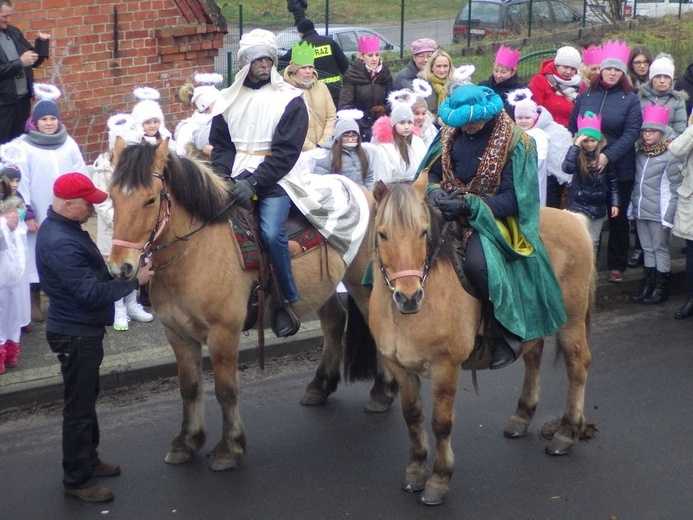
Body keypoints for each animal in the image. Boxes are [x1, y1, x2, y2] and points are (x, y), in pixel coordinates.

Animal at [105, 139, 392, 472]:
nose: (121, 268)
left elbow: (225, 390)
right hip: (324, 287)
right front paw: (186, 442)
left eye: (151, 200)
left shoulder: (223, 333)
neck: (194, 251)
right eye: (112, 196)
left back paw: (382, 393)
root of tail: (365, 191)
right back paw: (320, 386)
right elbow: (189, 388)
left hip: (362, 285)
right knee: (334, 322)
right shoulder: (177, 334)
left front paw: (229, 448)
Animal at [368, 174, 596, 504]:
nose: (409, 297)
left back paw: (566, 433)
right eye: (383, 234)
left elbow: (441, 422)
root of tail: (574, 218)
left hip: (572, 322)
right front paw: (415, 470)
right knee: (533, 354)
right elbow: (412, 416)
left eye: (423, 231)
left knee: (577, 366)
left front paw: (439, 478)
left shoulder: (446, 367)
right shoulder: (398, 366)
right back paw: (522, 415)